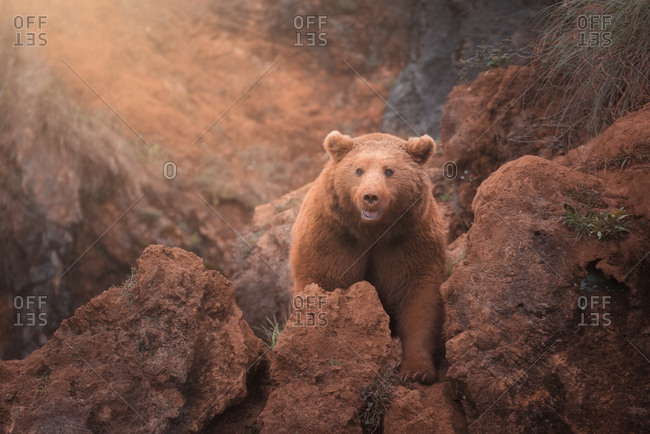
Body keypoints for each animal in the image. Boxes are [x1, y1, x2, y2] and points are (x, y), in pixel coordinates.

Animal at [290, 130, 446, 384]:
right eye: (359, 170)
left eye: (389, 171)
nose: (370, 196)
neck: (372, 232)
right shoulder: (332, 236)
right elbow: (325, 284)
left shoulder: (410, 238)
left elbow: (419, 297)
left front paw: (417, 371)